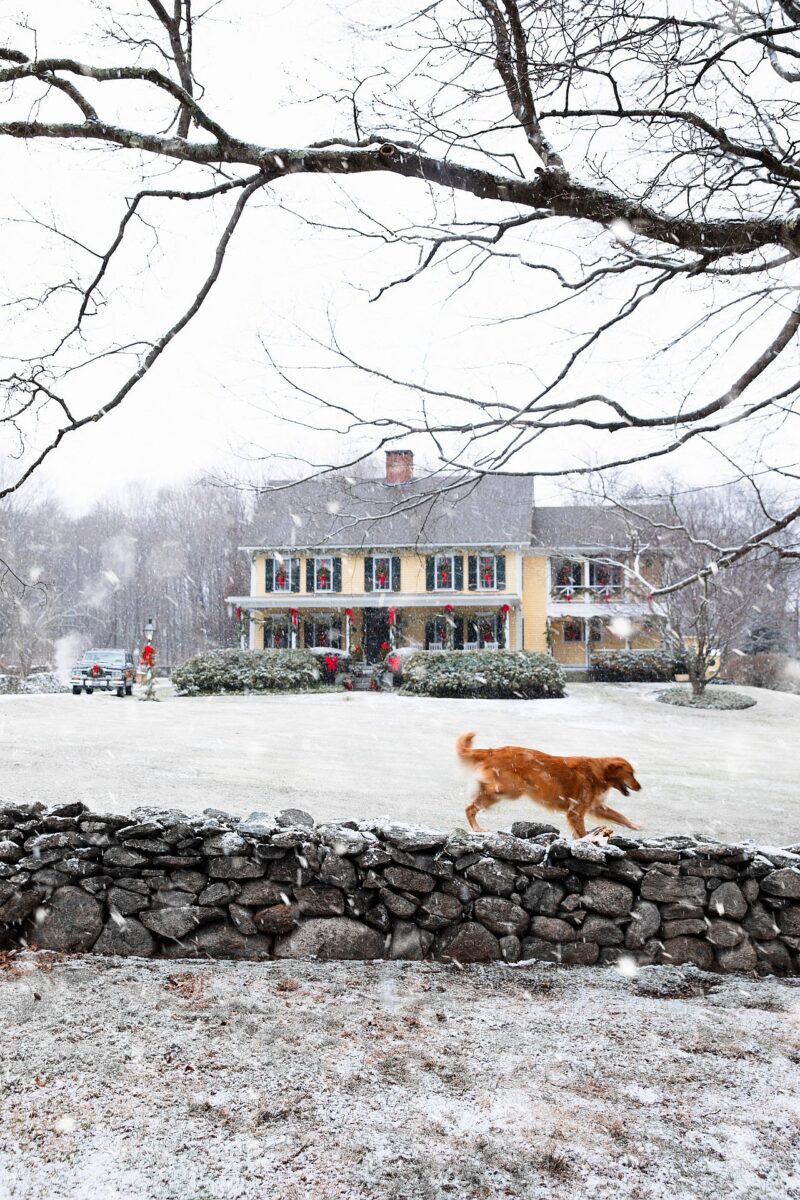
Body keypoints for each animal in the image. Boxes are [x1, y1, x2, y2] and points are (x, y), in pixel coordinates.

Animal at [455, 724, 642, 840]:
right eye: (630, 773)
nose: (640, 787)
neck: (598, 772)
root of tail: (493, 751)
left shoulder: (595, 807)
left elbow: (618, 816)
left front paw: (634, 825)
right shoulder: (576, 811)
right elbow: (581, 833)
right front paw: (585, 842)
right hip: (509, 789)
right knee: (471, 807)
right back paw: (477, 828)